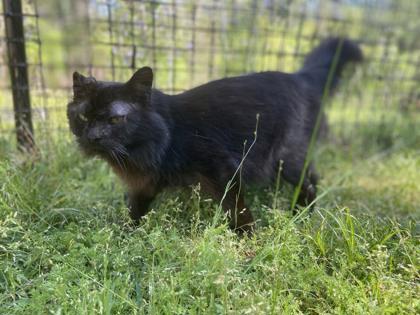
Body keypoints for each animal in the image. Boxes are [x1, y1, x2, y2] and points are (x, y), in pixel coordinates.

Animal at [67, 38, 362, 233]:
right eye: (83, 117)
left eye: (115, 119)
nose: (92, 137)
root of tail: (299, 77)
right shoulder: (143, 185)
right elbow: (135, 210)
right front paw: (127, 235)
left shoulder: (223, 169)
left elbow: (238, 209)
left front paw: (249, 240)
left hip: (286, 158)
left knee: (310, 183)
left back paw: (300, 215)